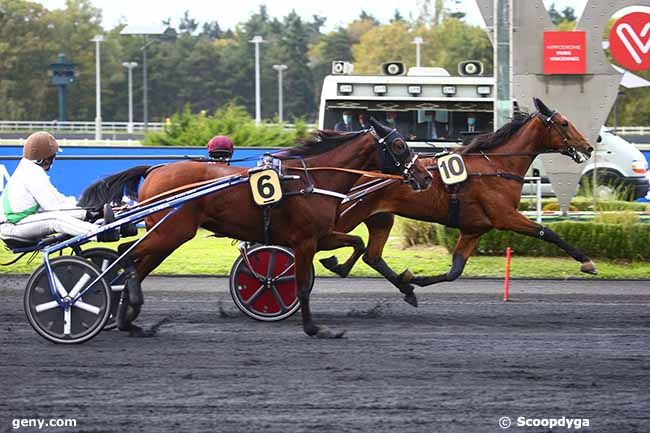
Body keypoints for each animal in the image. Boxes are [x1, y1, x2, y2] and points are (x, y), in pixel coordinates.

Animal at [81, 118, 432, 338]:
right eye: (399, 145)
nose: (426, 176)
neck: (311, 180)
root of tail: (156, 168)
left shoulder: (320, 236)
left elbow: (357, 243)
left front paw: (342, 267)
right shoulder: (305, 241)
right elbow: (302, 286)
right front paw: (315, 328)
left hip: (168, 235)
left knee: (134, 262)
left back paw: (128, 321)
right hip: (171, 233)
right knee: (126, 255)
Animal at [316, 96, 596, 306]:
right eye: (564, 123)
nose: (588, 147)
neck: (496, 166)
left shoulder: (474, 229)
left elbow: (455, 271)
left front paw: (413, 280)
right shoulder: (505, 217)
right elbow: (547, 232)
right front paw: (587, 262)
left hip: (381, 217)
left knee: (372, 256)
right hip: (349, 215)